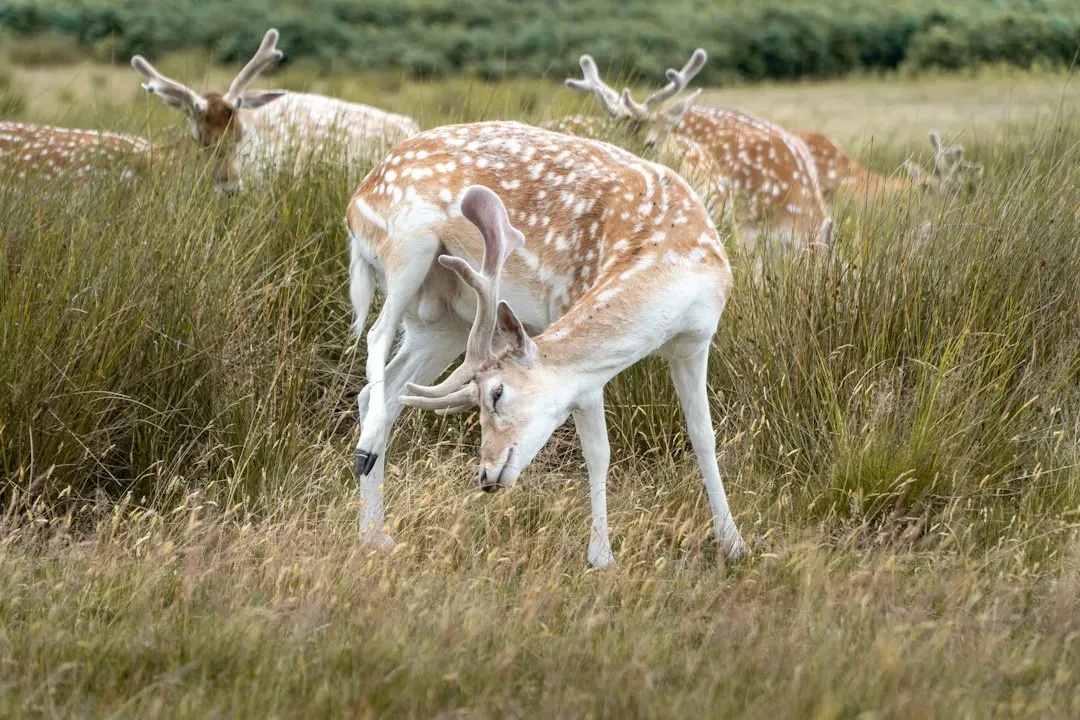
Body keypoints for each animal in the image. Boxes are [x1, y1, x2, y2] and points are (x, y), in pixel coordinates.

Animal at [344, 121, 747, 568]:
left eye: (497, 393)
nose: (485, 475)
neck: (674, 255)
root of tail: (355, 204)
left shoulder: (695, 343)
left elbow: (704, 436)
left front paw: (734, 544)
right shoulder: (574, 321)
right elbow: (598, 452)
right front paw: (601, 557)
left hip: (445, 323)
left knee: (386, 391)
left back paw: (374, 535)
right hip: (406, 250)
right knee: (376, 335)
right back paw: (365, 456)